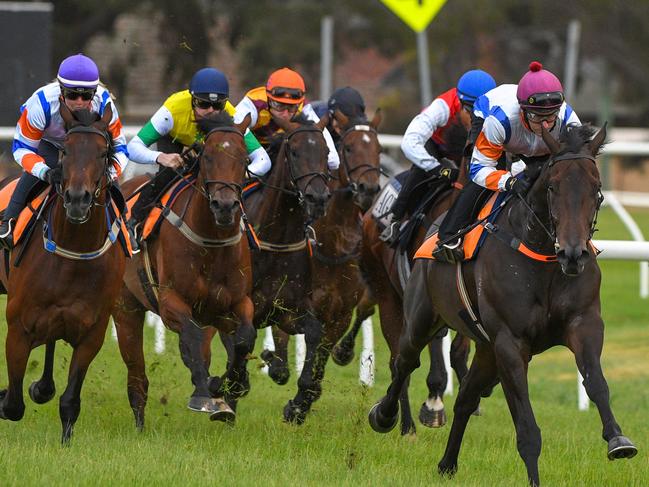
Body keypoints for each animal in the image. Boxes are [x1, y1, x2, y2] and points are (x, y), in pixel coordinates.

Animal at [0, 105, 125, 444]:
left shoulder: (92, 333)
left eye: (103, 152)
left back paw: (43, 387)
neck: (73, 252)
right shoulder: (18, 327)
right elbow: (13, 404)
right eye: (65, 151)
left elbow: (70, 401)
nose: (78, 199)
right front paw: (6, 397)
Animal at [112, 112, 254, 428]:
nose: (224, 205)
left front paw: (228, 386)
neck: (212, 242)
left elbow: (243, 339)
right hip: (126, 307)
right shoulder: (170, 302)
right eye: (207, 156)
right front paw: (205, 393)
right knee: (137, 372)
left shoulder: (236, 303)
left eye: (244, 158)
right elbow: (191, 338)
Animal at [240, 113, 330, 424]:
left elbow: (314, 332)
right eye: (295, 152)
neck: (278, 238)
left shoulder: (290, 308)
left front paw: (298, 405)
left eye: (326, 153)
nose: (318, 197)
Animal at [370, 124, 636, 486]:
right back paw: (385, 416)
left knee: (465, 398)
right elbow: (526, 427)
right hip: (423, 317)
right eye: (552, 187)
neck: (545, 259)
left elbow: (596, 382)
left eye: (596, 188)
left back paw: (447, 464)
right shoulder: (510, 343)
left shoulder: (584, 323)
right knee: (404, 361)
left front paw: (617, 439)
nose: (573, 253)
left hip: (485, 349)